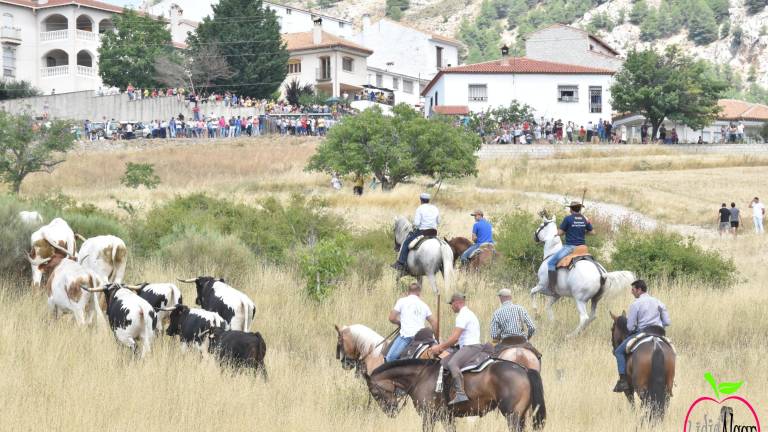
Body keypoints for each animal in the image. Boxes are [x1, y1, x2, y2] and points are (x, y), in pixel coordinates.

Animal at [364, 358, 544, 432]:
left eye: (375, 393)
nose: (391, 411)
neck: (422, 376)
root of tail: (523, 369)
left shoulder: (429, 416)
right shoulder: (446, 417)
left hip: (512, 416)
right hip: (520, 416)